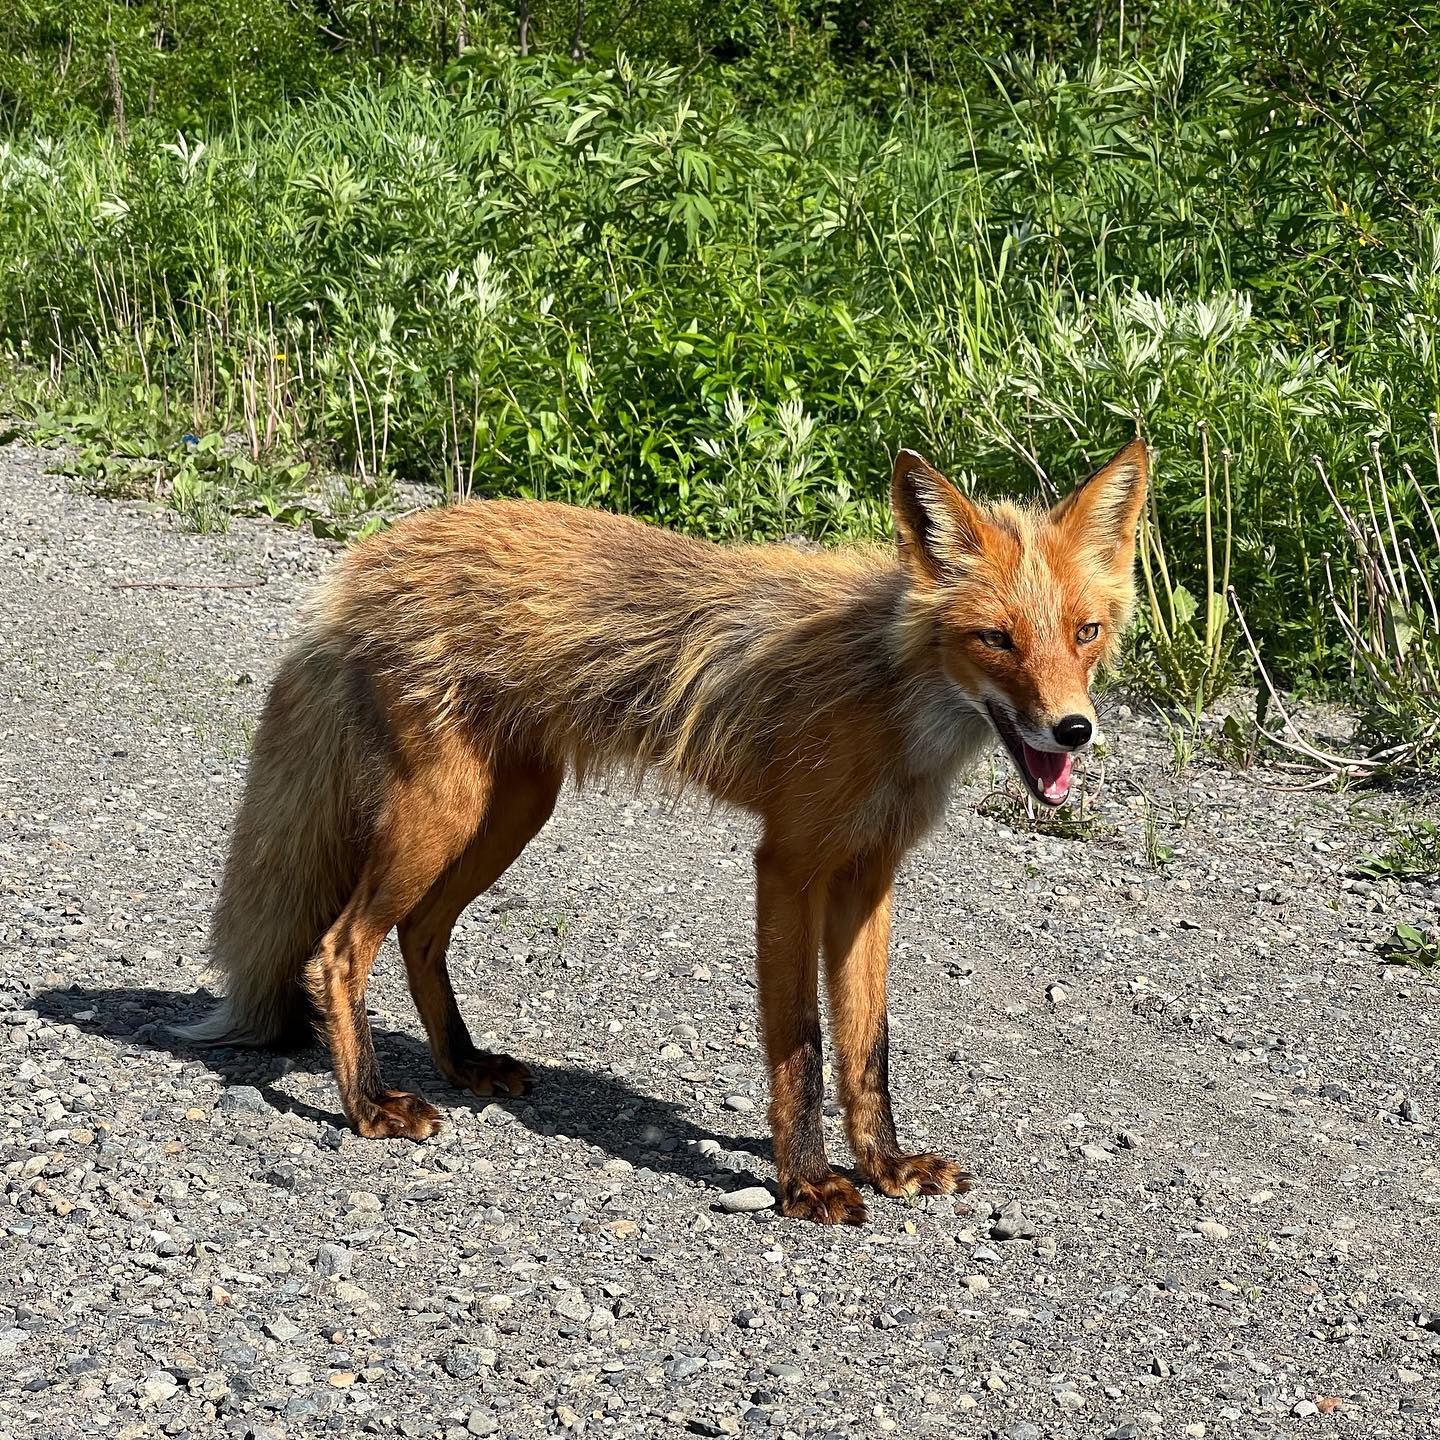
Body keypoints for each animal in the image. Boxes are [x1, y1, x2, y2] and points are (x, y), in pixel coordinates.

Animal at [180, 437, 1146, 1226]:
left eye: (1085, 633)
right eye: (996, 640)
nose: (1073, 730)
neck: (887, 694)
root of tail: (368, 555)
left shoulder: (870, 875)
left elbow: (867, 1047)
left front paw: (886, 1164)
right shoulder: (788, 865)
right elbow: (802, 1047)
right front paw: (807, 1184)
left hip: (509, 813)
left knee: (418, 933)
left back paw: (463, 1064)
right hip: (440, 816)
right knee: (338, 950)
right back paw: (369, 1106)